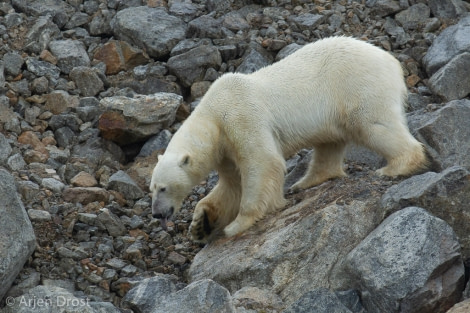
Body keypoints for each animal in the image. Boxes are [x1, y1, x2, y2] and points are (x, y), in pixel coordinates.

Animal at [150, 36, 426, 241]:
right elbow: (231, 185)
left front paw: (238, 224)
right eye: (151, 188)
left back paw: (396, 166)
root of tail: (392, 61)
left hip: (358, 86)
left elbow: (262, 162)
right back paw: (305, 182)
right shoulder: (225, 149)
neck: (213, 114)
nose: (156, 214)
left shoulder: (241, 117)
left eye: (163, 188)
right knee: (329, 144)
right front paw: (200, 223)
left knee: (373, 125)